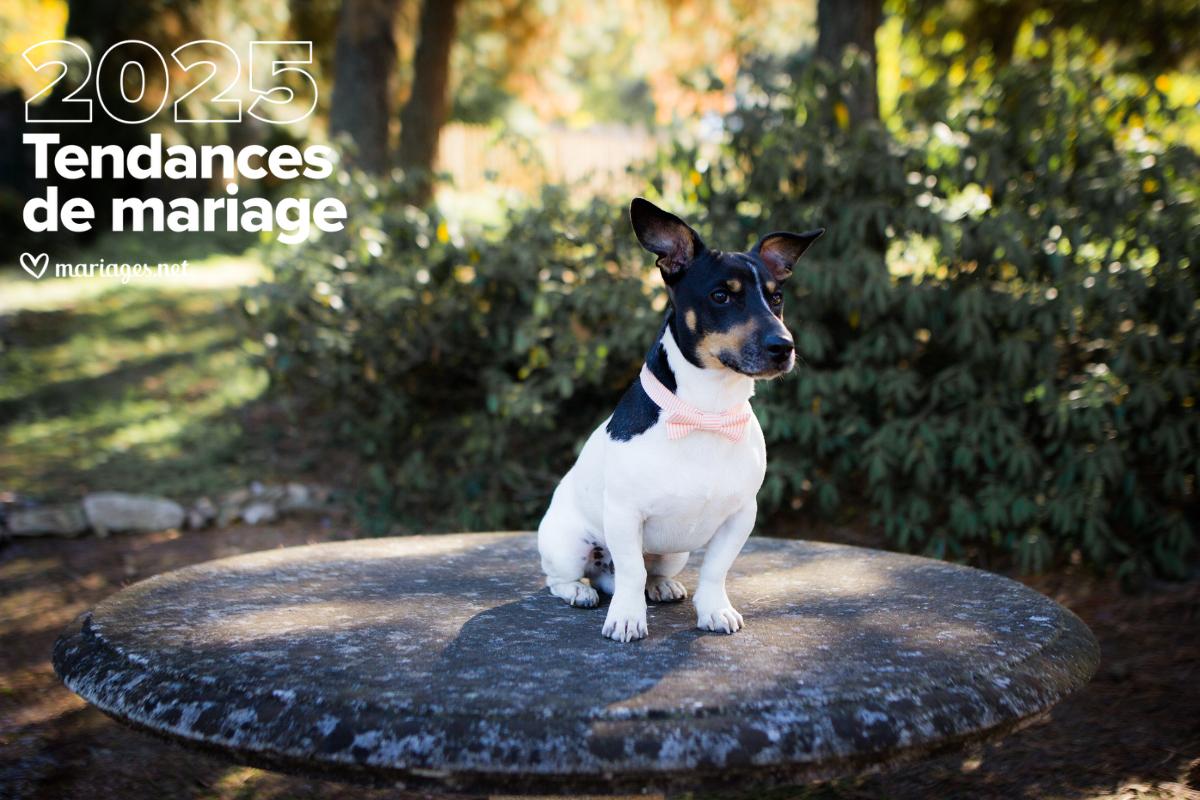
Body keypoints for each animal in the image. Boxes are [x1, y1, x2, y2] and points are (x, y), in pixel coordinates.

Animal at [537, 200, 825, 642]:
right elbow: (631, 573)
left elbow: (715, 570)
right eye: (721, 296)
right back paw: (579, 591)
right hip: (568, 545)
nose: (784, 346)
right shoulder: (624, 515)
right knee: (570, 578)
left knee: (642, 572)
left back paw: (660, 585)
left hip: (675, 552)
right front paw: (626, 618)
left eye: (776, 298)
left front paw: (714, 610)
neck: (706, 411)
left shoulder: (740, 517)